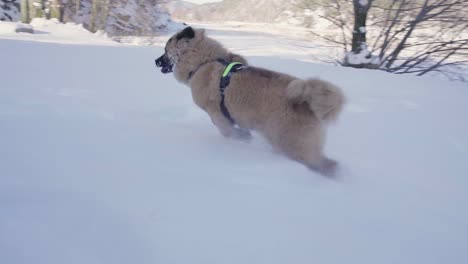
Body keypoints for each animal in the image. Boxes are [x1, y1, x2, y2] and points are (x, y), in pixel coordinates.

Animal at [155, 26, 346, 176]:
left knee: (317, 163)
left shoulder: (217, 114)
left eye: (165, 50)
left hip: (288, 142)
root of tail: (306, 101)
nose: (156, 61)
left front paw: (237, 139)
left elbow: (226, 130)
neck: (204, 61)